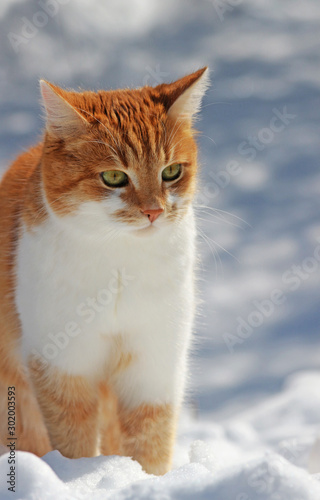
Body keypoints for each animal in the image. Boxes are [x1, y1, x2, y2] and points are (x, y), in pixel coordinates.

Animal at [0, 67, 208, 476]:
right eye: (113, 177)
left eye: (171, 172)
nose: (154, 211)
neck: (119, 266)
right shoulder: (62, 365)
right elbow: (73, 441)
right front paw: (76, 477)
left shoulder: (154, 361)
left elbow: (150, 439)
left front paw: (148, 480)